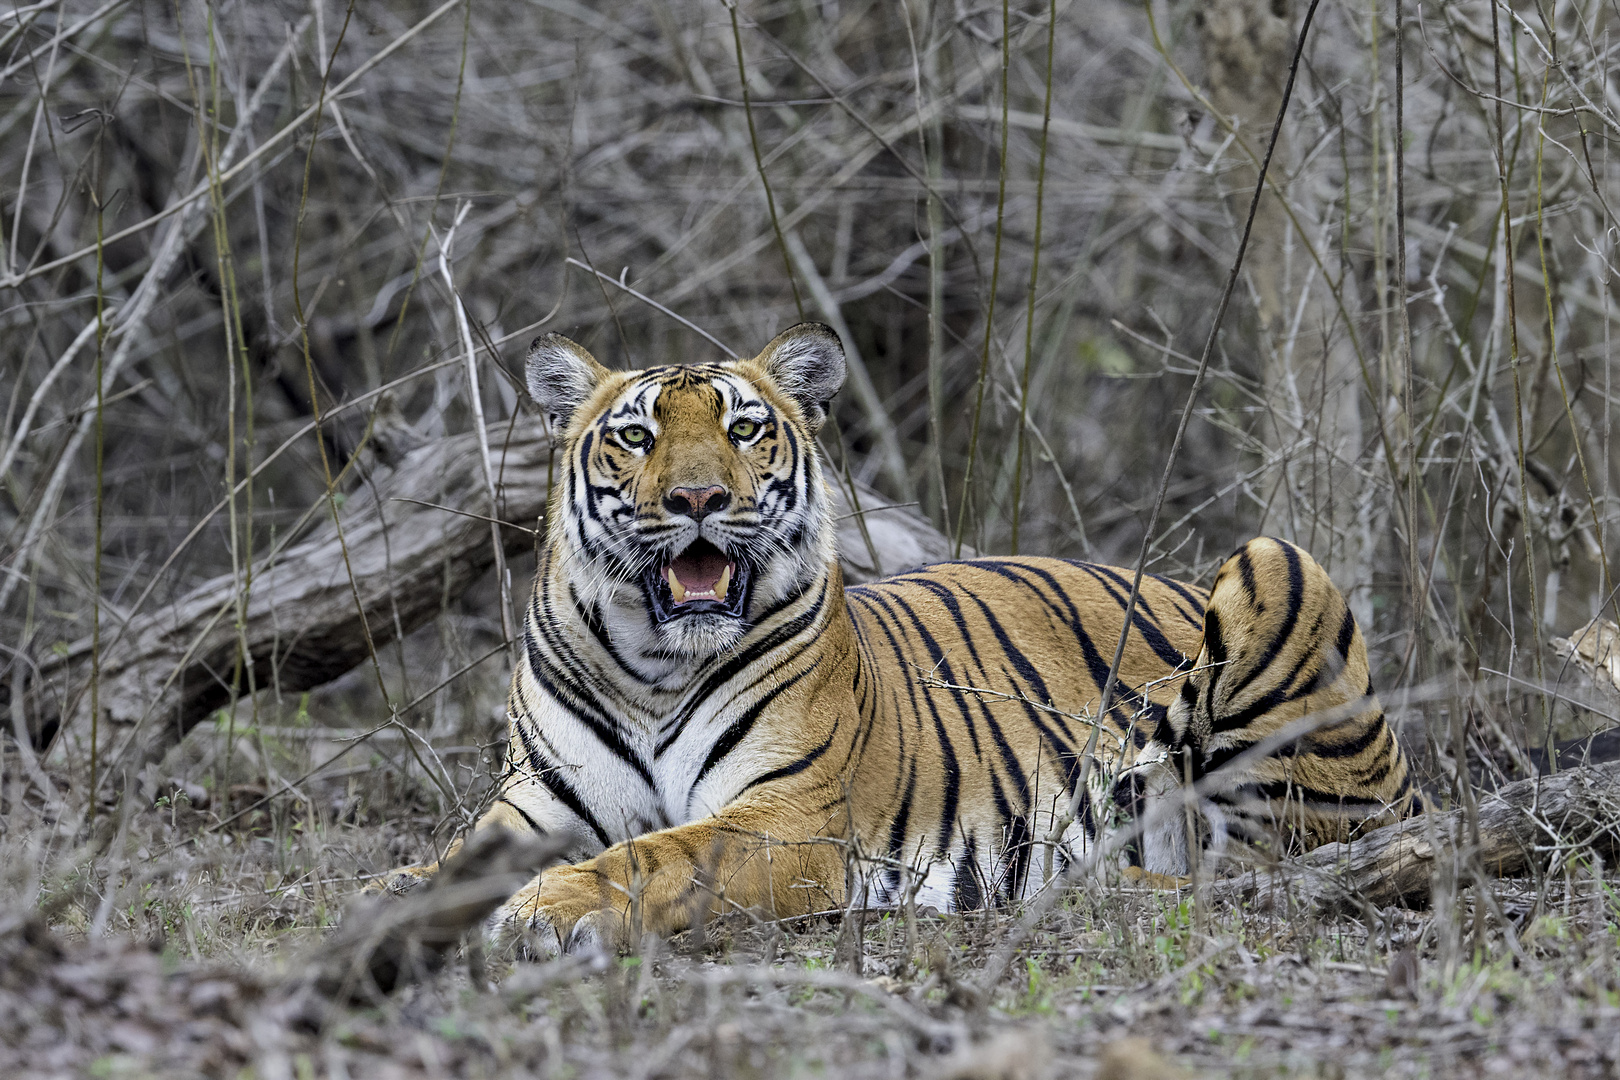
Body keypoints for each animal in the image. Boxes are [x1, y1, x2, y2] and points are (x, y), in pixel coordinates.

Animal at [388, 320, 1419, 952]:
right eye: (636, 437)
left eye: (745, 429)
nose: (698, 499)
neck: (651, 664)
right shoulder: (535, 811)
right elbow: (444, 863)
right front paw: (397, 896)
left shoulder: (788, 819)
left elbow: (655, 854)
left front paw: (546, 908)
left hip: (1275, 564)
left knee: (1276, 861)